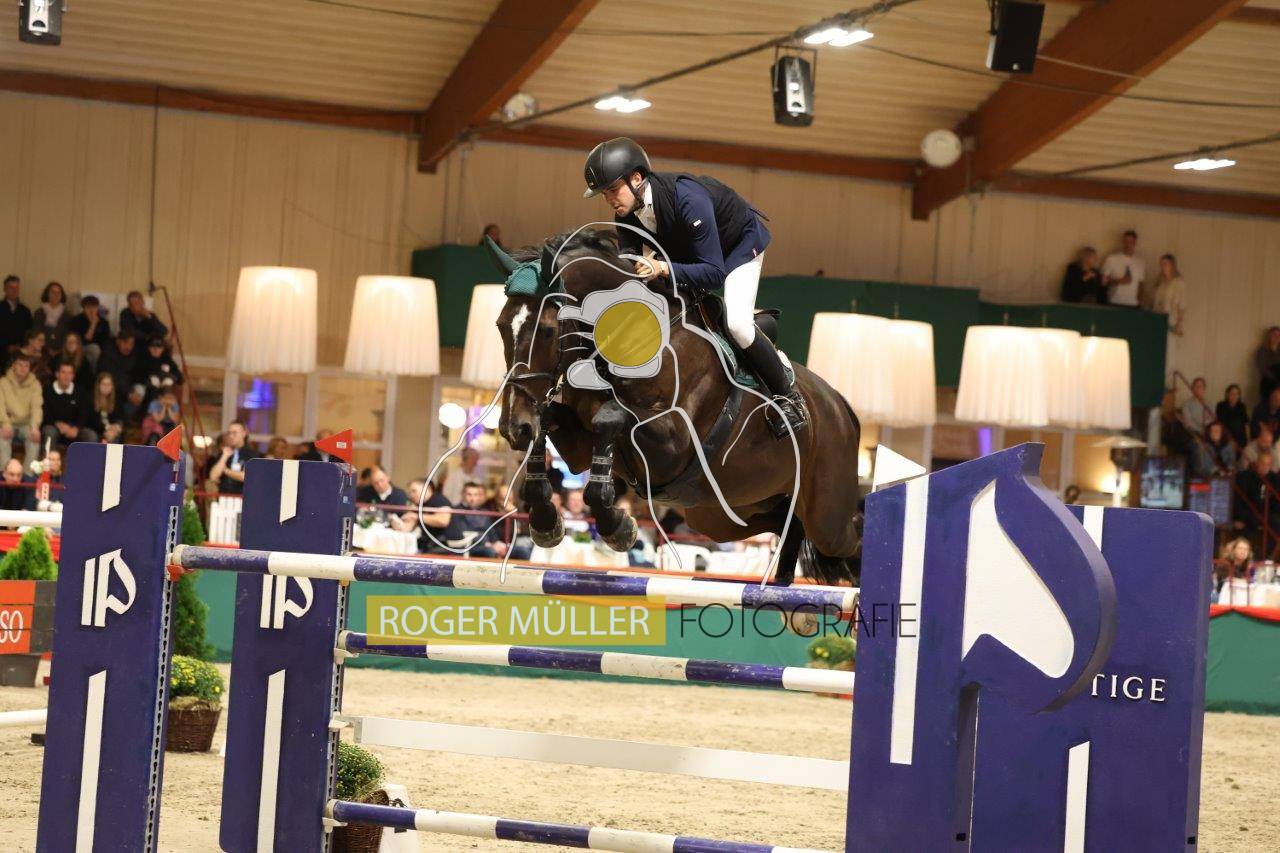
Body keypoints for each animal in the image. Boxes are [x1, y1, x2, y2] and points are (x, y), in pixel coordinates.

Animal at [490, 230, 861, 586]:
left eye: (547, 330)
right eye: (500, 326)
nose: (512, 427)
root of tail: (842, 406)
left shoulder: (672, 446)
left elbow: (609, 418)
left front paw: (617, 525)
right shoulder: (579, 445)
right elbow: (551, 421)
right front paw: (545, 520)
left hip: (827, 517)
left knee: (851, 539)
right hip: (723, 512)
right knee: (787, 519)